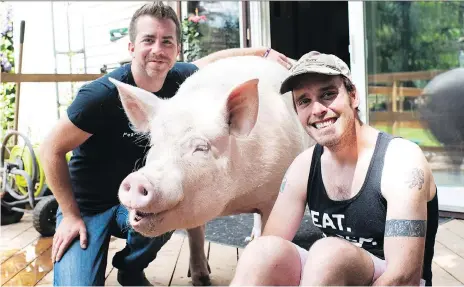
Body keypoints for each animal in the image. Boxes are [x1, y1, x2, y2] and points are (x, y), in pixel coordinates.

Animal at [109, 56, 312, 286]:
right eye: (153, 144)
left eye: (201, 147)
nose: (137, 180)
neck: (235, 199)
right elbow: (195, 237)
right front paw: (201, 279)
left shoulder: (274, 194)